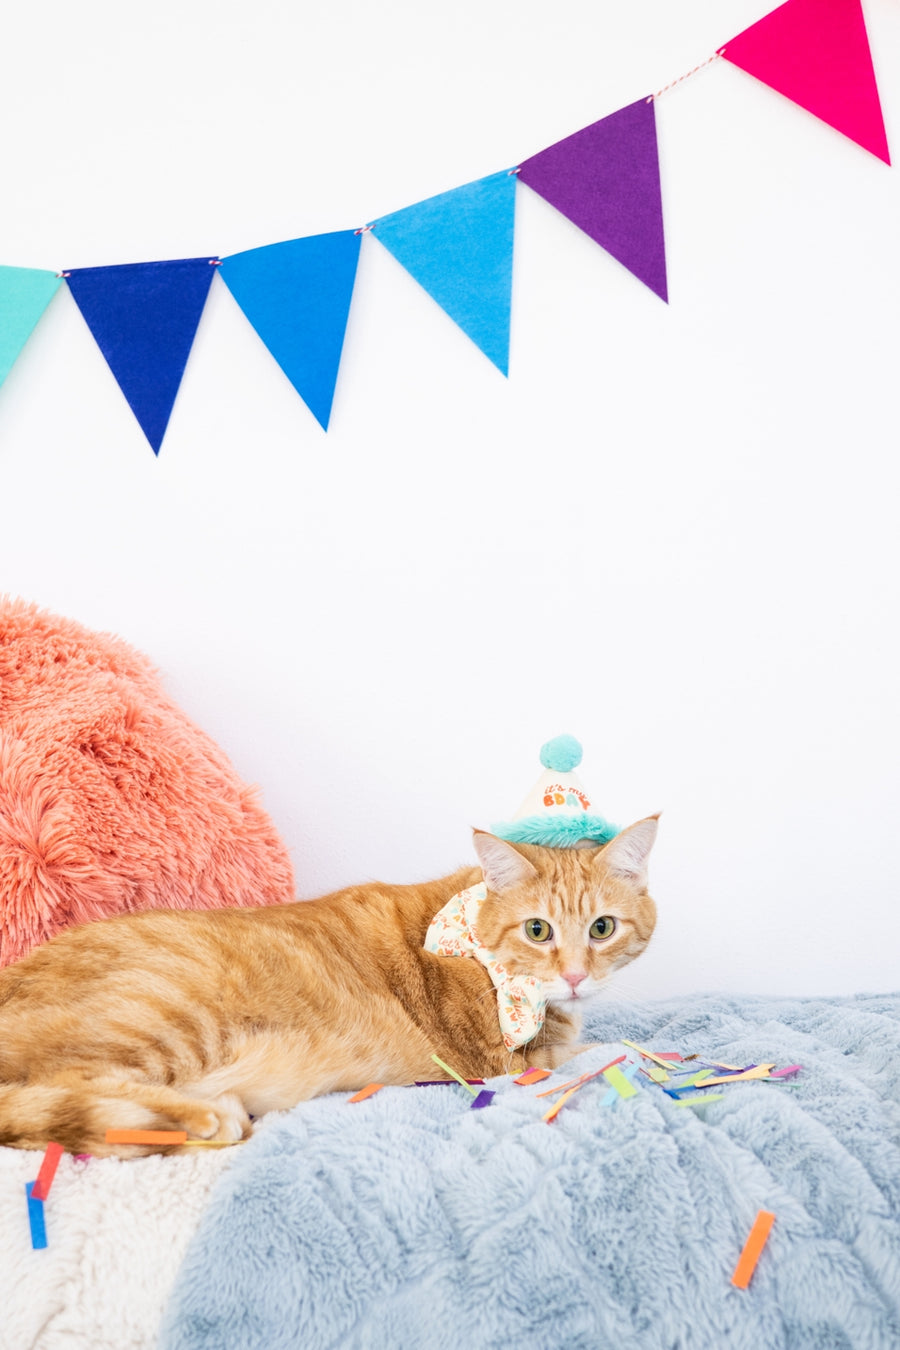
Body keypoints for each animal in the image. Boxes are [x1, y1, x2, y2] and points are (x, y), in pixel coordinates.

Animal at [1, 815, 661, 1155]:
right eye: (537, 929)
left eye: (602, 928)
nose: (574, 976)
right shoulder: (512, 1064)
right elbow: (604, 1052)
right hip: (163, 1015)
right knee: (61, 1091)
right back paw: (197, 1116)